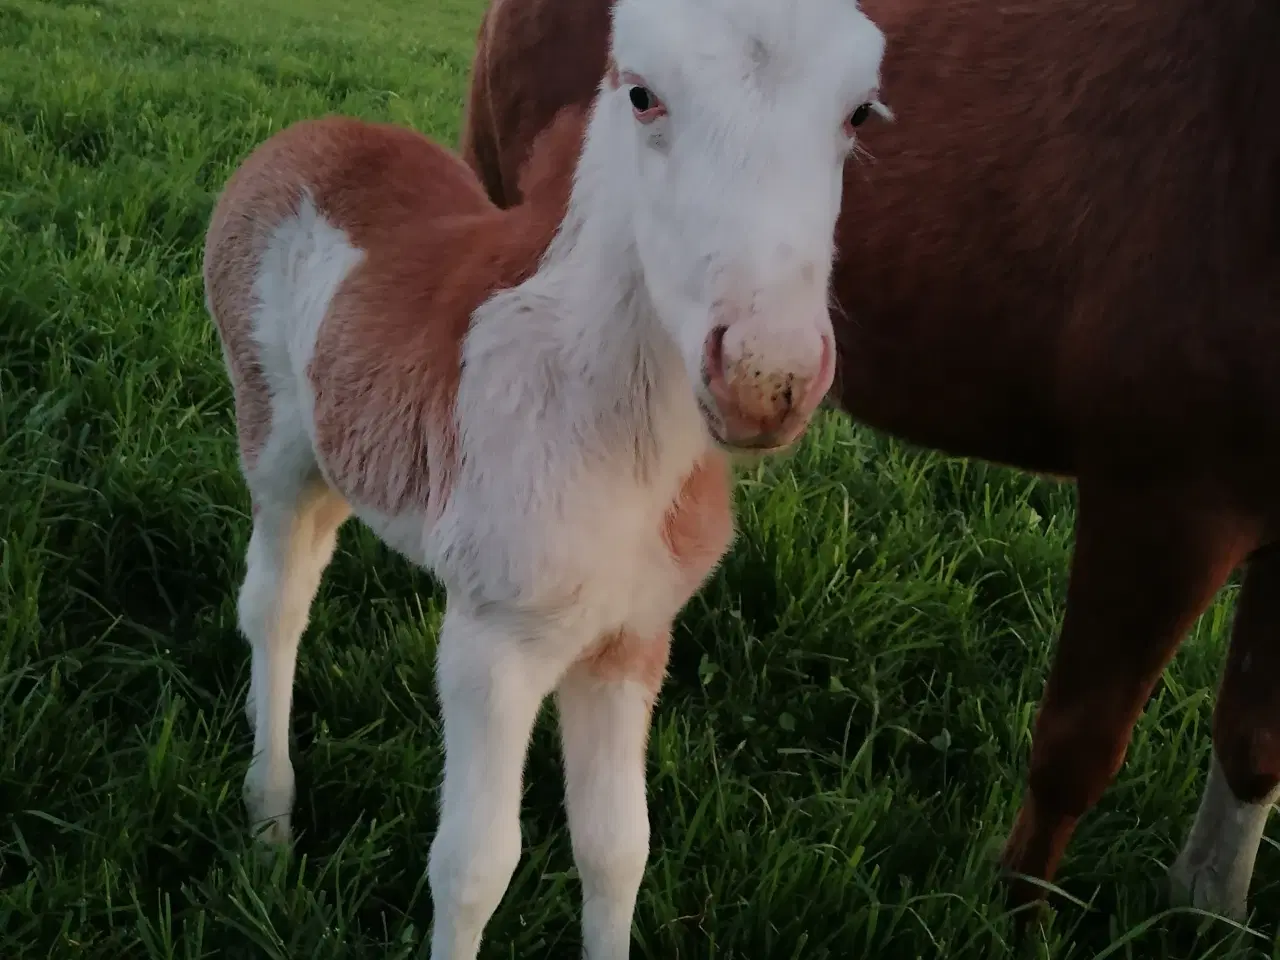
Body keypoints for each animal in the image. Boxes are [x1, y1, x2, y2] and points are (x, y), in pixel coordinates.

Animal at [202, 0, 890, 957]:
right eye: (641, 94)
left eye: (857, 114)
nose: (766, 378)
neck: (614, 433)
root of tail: (309, 132)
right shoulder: (494, 644)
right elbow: (474, 870)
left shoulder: (632, 639)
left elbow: (617, 850)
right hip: (272, 441)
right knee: (273, 606)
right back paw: (268, 821)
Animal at [465, 0, 1280, 926]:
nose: (766, 379)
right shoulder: (1165, 506)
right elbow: (1078, 750)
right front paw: (1017, 922)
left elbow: (1253, 741)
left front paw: (1210, 911)